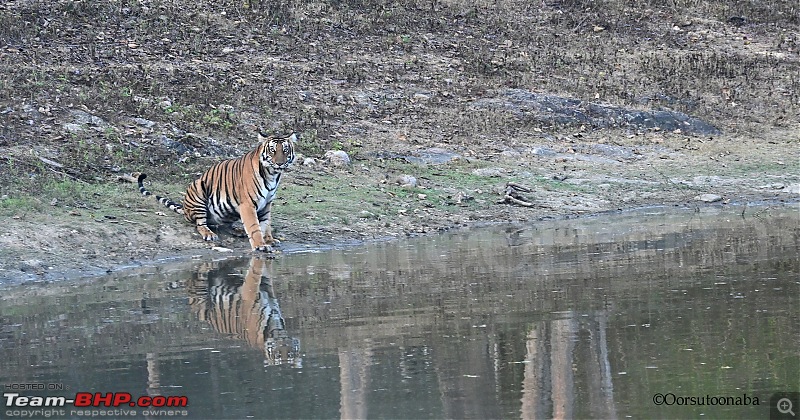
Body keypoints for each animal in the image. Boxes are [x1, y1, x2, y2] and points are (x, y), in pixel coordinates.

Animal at [138, 132, 296, 249]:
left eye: (285, 150)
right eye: (272, 151)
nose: (279, 163)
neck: (272, 175)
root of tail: (185, 208)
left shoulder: (267, 203)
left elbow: (266, 223)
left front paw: (269, 240)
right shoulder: (248, 204)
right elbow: (254, 226)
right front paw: (260, 245)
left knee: (225, 224)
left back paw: (238, 230)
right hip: (199, 189)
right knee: (200, 223)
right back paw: (209, 234)